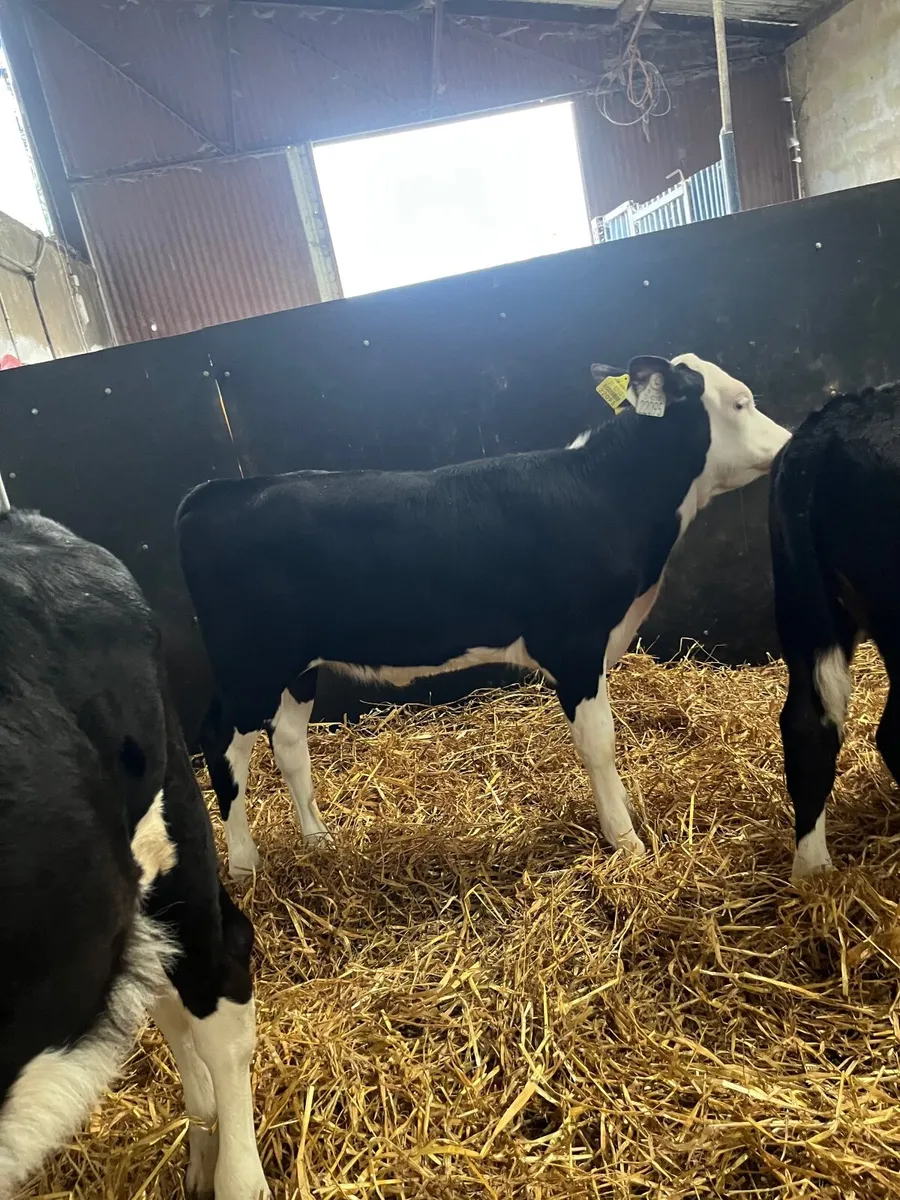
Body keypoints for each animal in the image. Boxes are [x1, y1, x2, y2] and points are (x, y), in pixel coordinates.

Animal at [176, 352, 790, 880]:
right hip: (247, 666)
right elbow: (598, 742)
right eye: (741, 402)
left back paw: (317, 839)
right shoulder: (573, 644)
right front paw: (625, 841)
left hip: (297, 666)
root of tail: (215, 492)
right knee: (221, 743)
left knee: (286, 743)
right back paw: (244, 864)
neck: (608, 494)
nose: (788, 445)